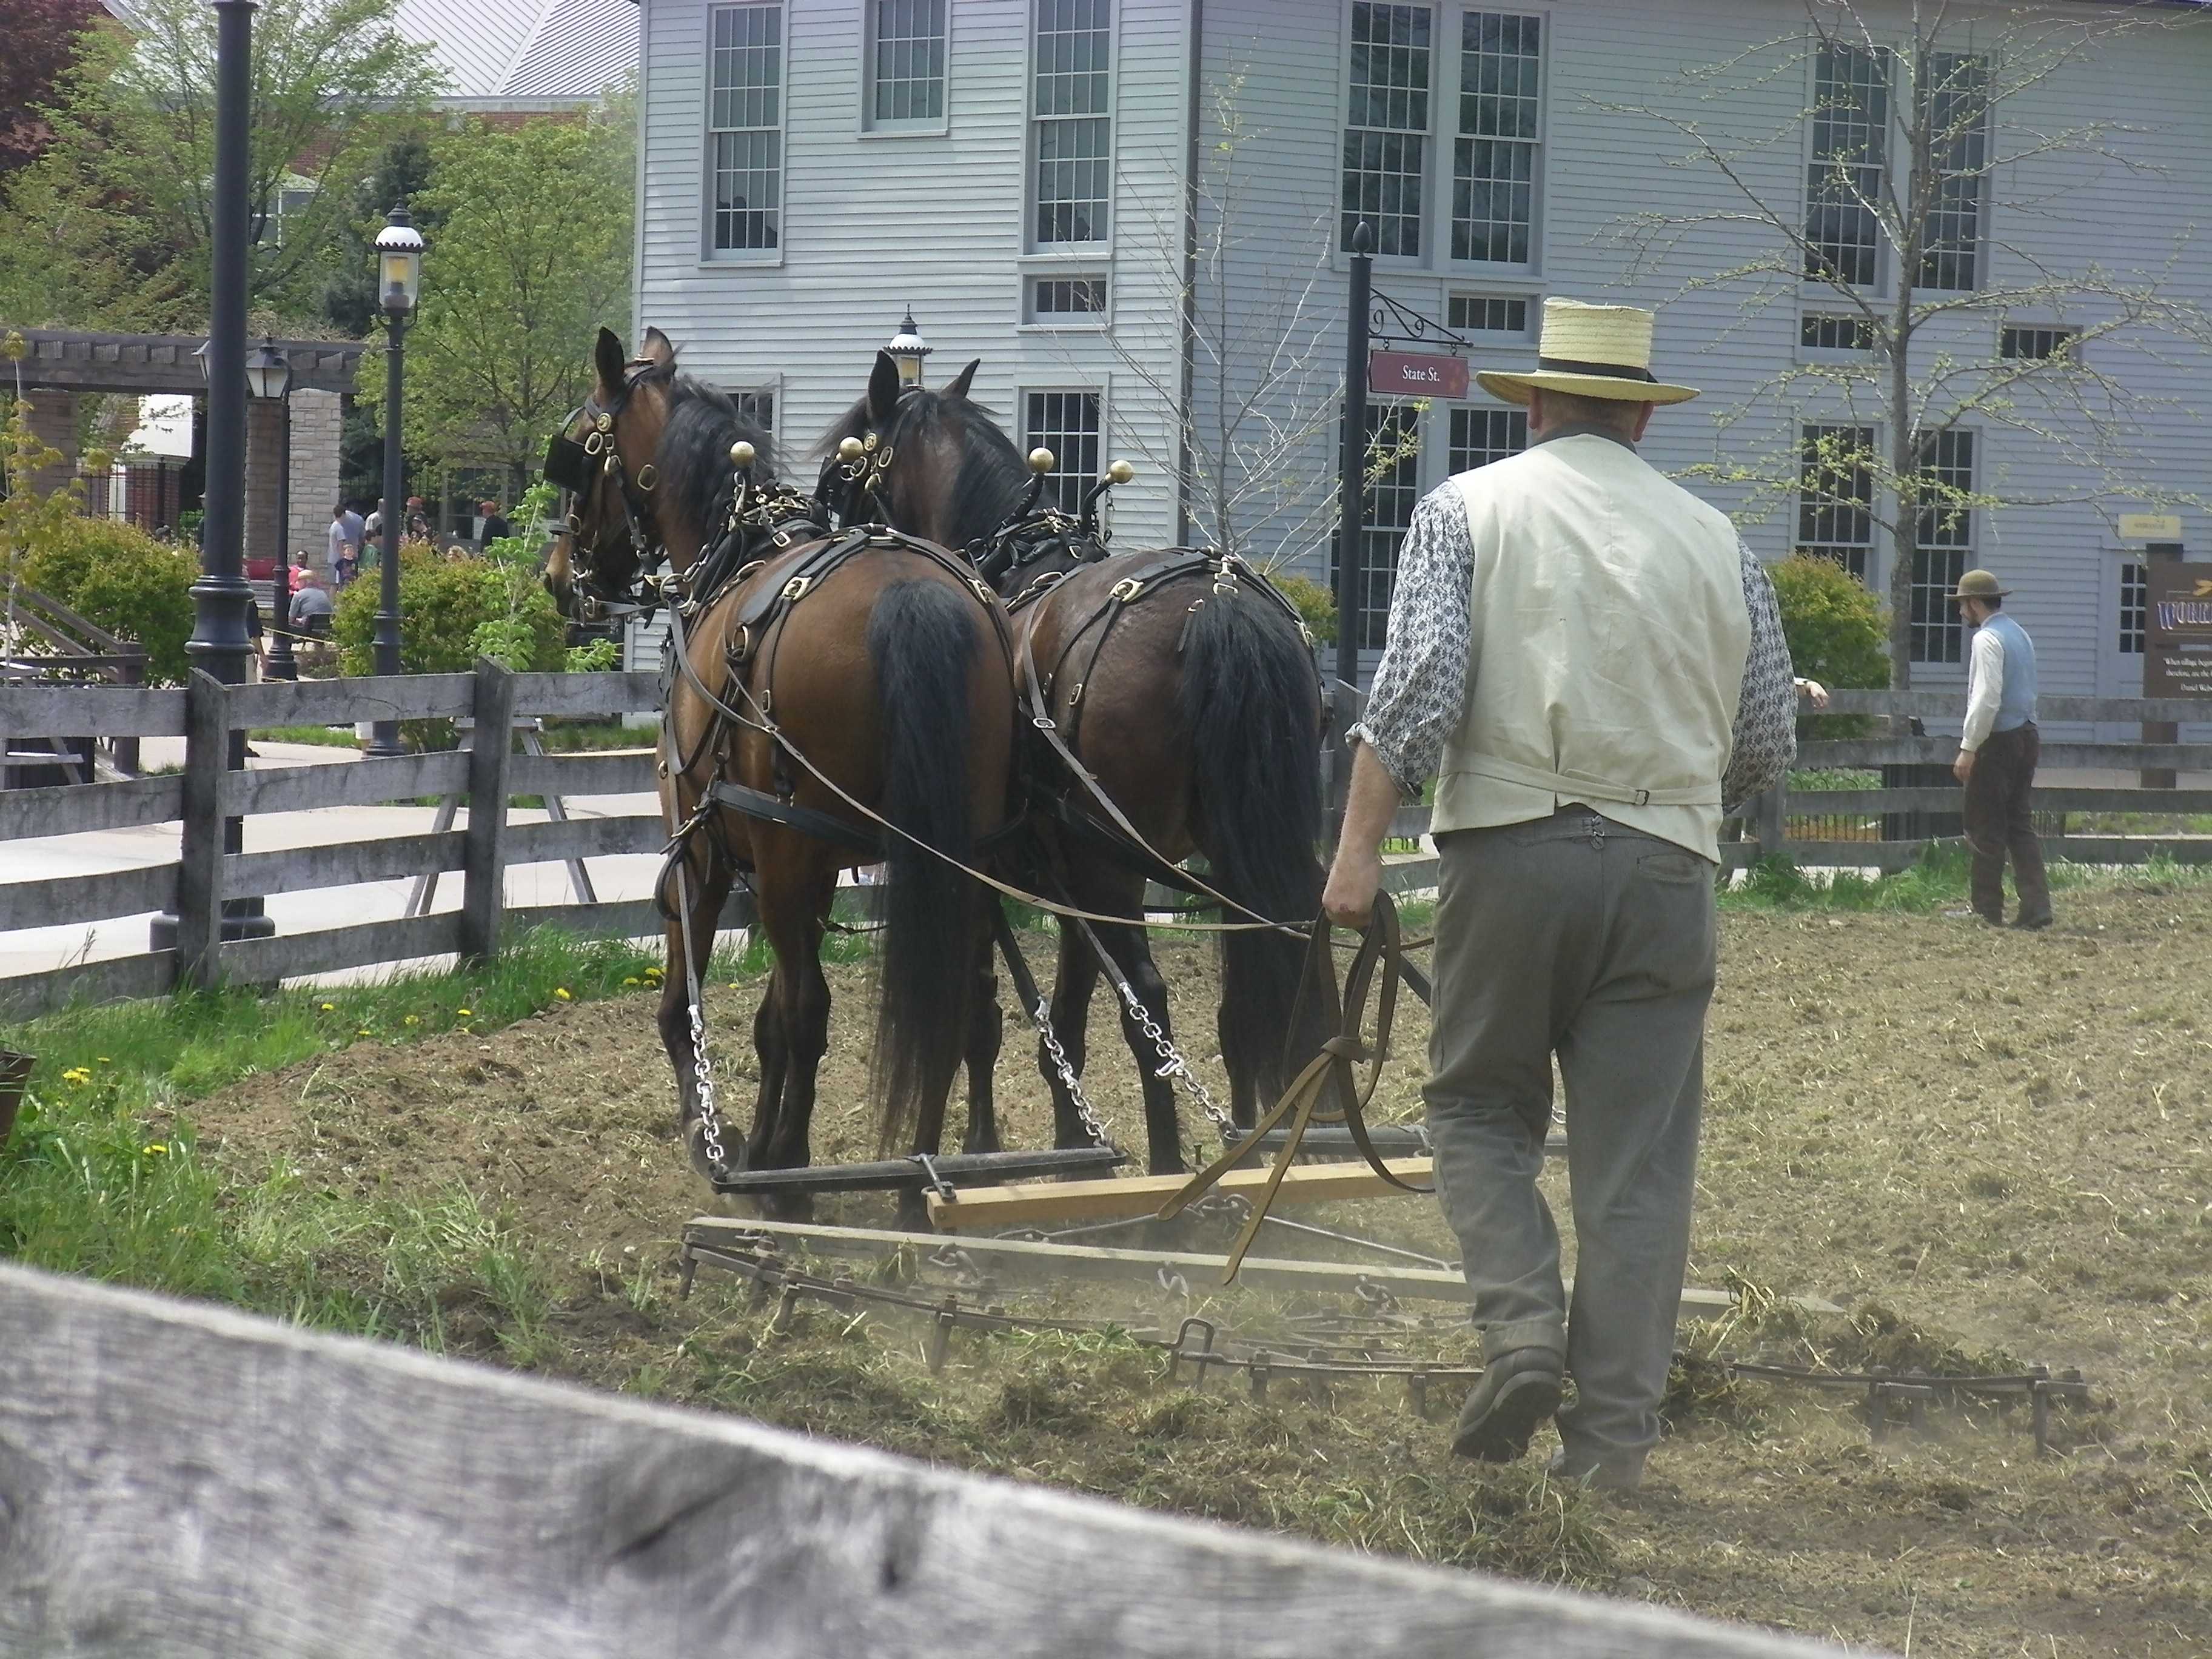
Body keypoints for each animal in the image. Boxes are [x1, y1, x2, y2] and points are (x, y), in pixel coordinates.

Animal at [550, 327, 1016, 1210]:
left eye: (576, 451)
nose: (561, 578)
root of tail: (907, 593)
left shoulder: (706, 842)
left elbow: (689, 1005)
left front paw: (721, 1137)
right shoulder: (807, 866)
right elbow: (771, 1020)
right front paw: (764, 1141)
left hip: (782, 851)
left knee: (812, 1009)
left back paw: (796, 1179)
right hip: (953, 857)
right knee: (949, 1001)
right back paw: (919, 1180)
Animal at [822, 352, 1340, 1175]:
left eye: (843, 469)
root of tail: (1219, 602)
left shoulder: (994, 870)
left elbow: (983, 1013)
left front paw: (986, 1143)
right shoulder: (1065, 879)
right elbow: (1063, 1018)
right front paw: (1074, 1145)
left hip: (1116, 864)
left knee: (1149, 1001)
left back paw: (1172, 1172)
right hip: (1237, 848)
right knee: (1264, 979)